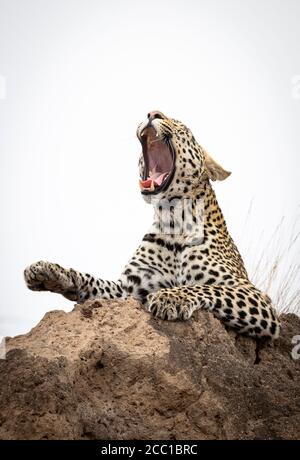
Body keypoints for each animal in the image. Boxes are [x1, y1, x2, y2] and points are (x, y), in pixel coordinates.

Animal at [24, 108, 280, 338]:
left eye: (181, 127)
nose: (152, 113)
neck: (173, 220)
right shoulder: (129, 290)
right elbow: (90, 279)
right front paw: (48, 271)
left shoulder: (256, 296)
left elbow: (207, 287)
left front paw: (170, 297)